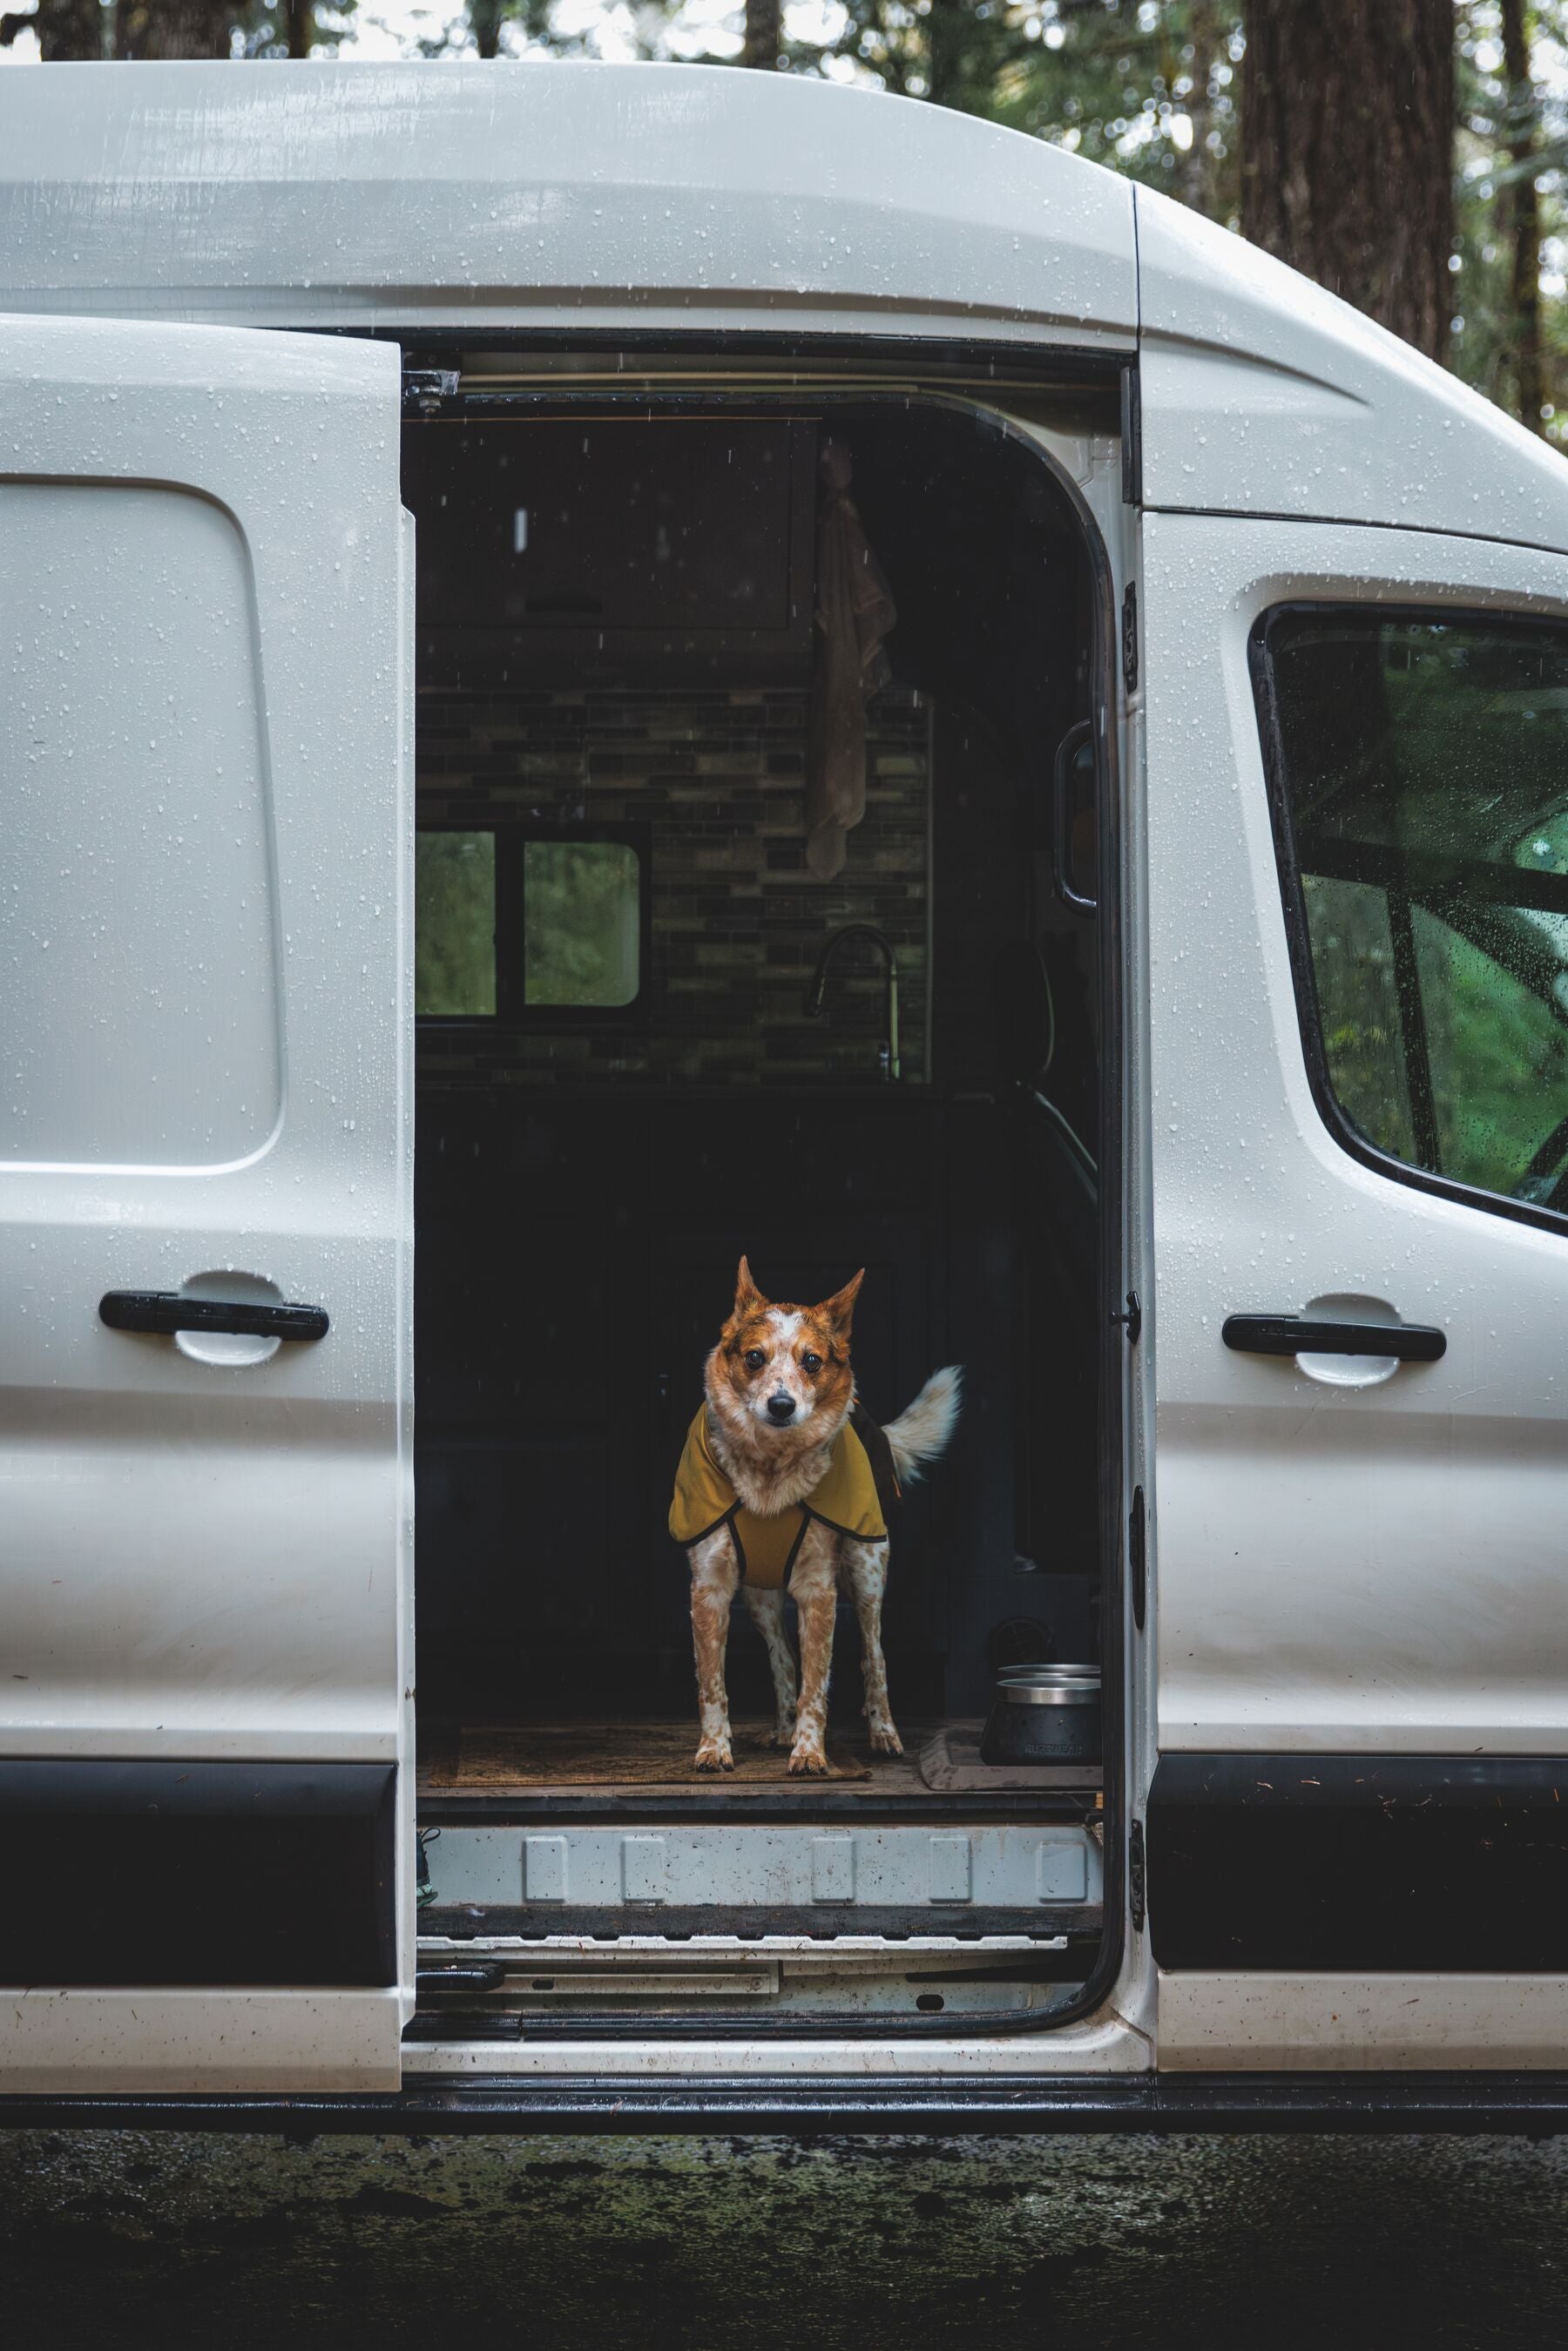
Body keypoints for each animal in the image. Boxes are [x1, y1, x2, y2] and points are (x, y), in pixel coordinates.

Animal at [672, 1260, 963, 1767]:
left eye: (812, 1361)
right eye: (754, 1358)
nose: (781, 1404)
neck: (770, 1473)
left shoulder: (818, 1591)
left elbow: (818, 1685)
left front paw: (810, 1754)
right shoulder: (709, 1588)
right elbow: (713, 1683)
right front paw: (714, 1748)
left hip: (867, 1574)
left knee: (874, 1655)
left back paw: (882, 1734)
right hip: (760, 1597)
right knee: (783, 1656)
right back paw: (783, 1730)